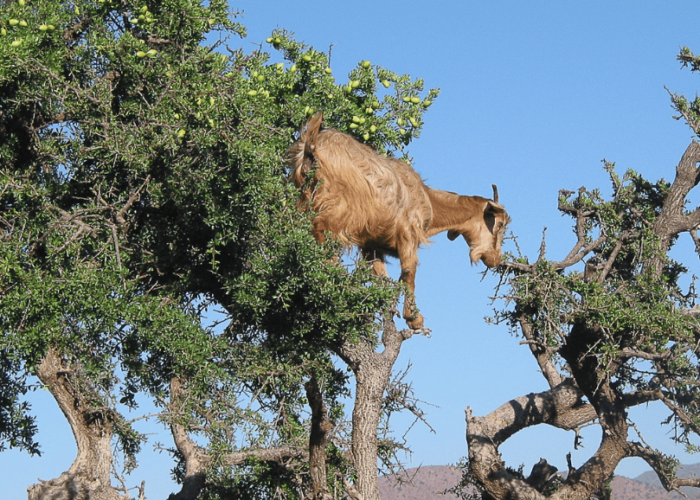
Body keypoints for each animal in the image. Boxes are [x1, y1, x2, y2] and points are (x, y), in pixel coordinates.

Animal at [288, 114, 512, 332]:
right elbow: (410, 271)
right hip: (337, 212)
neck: (429, 200)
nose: (495, 260)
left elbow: (381, 275)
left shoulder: (371, 244)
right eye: (499, 225)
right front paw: (413, 318)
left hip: (302, 201)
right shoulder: (407, 234)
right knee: (323, 238)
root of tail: (312, 144)